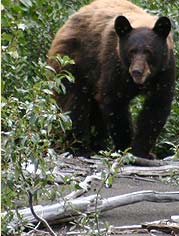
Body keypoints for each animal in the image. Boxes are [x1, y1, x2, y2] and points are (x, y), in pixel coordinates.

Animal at [47, 0, 175, 159]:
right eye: (131, 51)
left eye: (148, 51)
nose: (137, 72)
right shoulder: (114, 63)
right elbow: (114, 101)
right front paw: (125, 147)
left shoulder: (165, 69)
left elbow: (157, 106)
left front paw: (142, 152)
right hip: (72, 64)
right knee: (73, 105)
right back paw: (80, 148)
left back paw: (97, 147)